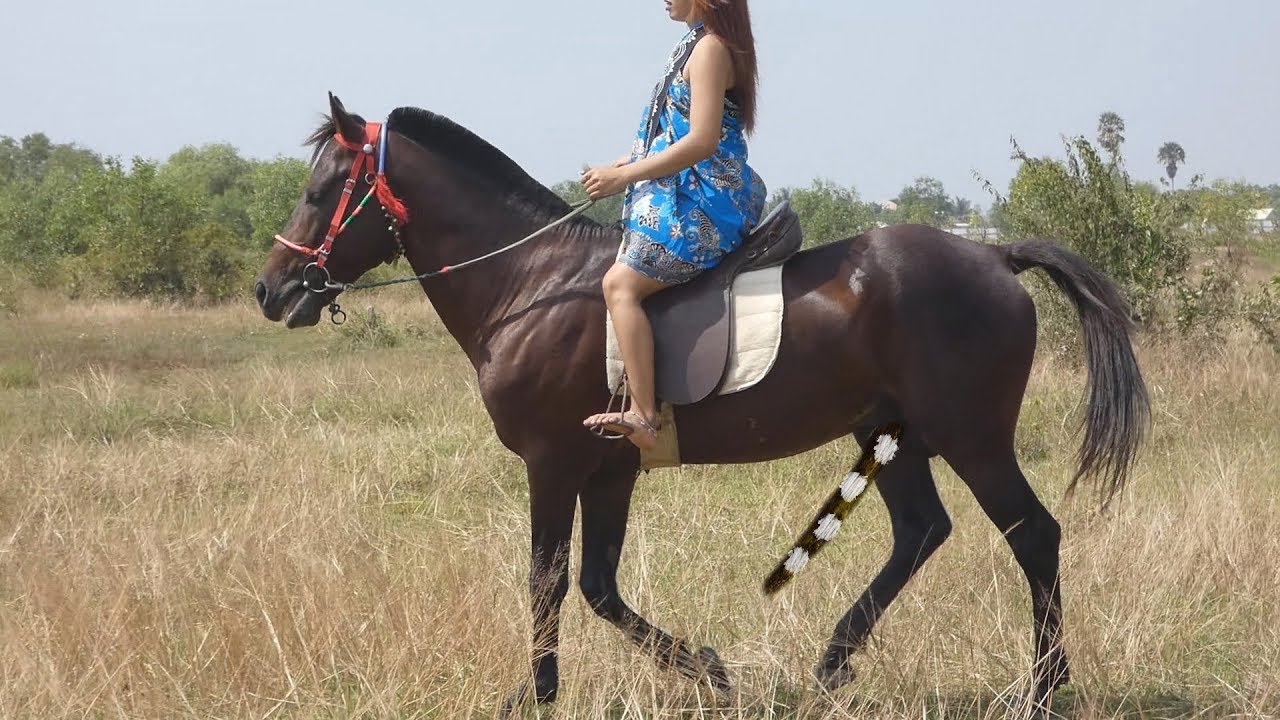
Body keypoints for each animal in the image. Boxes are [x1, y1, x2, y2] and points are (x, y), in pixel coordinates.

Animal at [254, 93, 1150, 715]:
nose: (273, 289)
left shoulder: (553, 464)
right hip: (890, 434)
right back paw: (834, 660)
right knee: (922, 531)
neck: (530, 285)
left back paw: (1040, 689)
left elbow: (547, 579)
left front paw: (535, 694)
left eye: (323, 188)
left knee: (1032, 534)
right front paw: (712, 672)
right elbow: (598, 586)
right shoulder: (609, 470)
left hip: (972, 437)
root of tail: (994, 257)